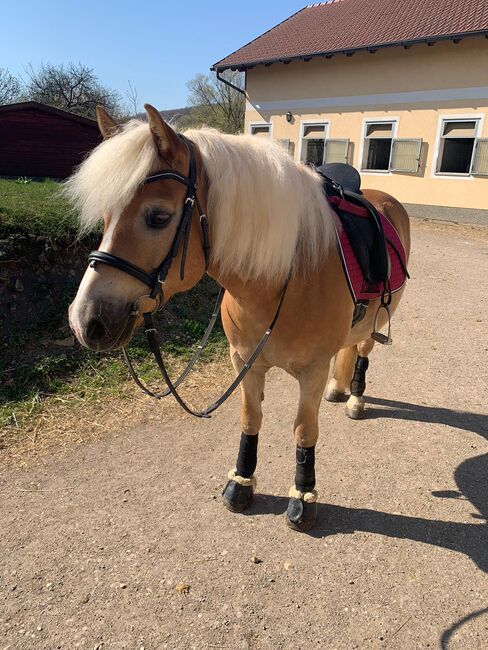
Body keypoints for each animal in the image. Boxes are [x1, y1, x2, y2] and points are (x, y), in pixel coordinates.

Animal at [66, 104, 410, 532]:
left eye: (158, 217)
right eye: (107, 217)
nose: (84, 320)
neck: (283, 274)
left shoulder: (311, 371)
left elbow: (304, 430)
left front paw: (303, 497)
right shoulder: (245, 361)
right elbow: (250, 419)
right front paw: (241, 483)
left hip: (377, 320)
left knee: (361, 348)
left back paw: (356, 397)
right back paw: (338, 388)